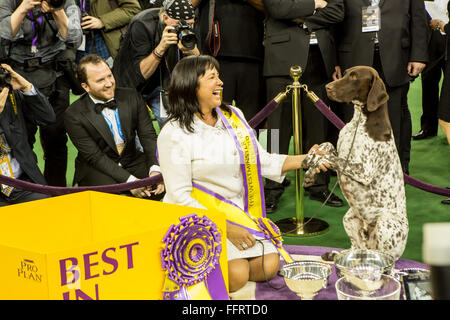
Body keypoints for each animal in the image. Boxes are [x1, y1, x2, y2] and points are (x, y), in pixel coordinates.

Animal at [302, 66, 408, 262]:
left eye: (353, 77)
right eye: (344, 74)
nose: (328, 87)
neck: (360, 122)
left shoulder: (362, 170)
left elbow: (330, 158)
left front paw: (312, 161)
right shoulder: (341, 151)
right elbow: (326, 146)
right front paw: (310, 170)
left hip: (384, 224)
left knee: (386, 260)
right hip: (350, 218)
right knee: (358, 249)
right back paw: (336, 254)